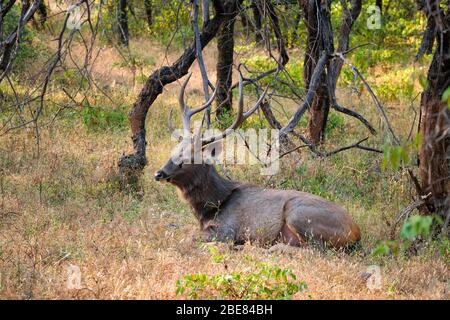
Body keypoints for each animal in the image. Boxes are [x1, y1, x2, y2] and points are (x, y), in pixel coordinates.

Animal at [156, 74, 362, 250]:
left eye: (189, 158)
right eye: (173, 150)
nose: (159, 173)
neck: (213, 206)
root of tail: (356, 232)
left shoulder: (228, 230)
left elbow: (189, 237)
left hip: (301, 215)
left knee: (315, 249)